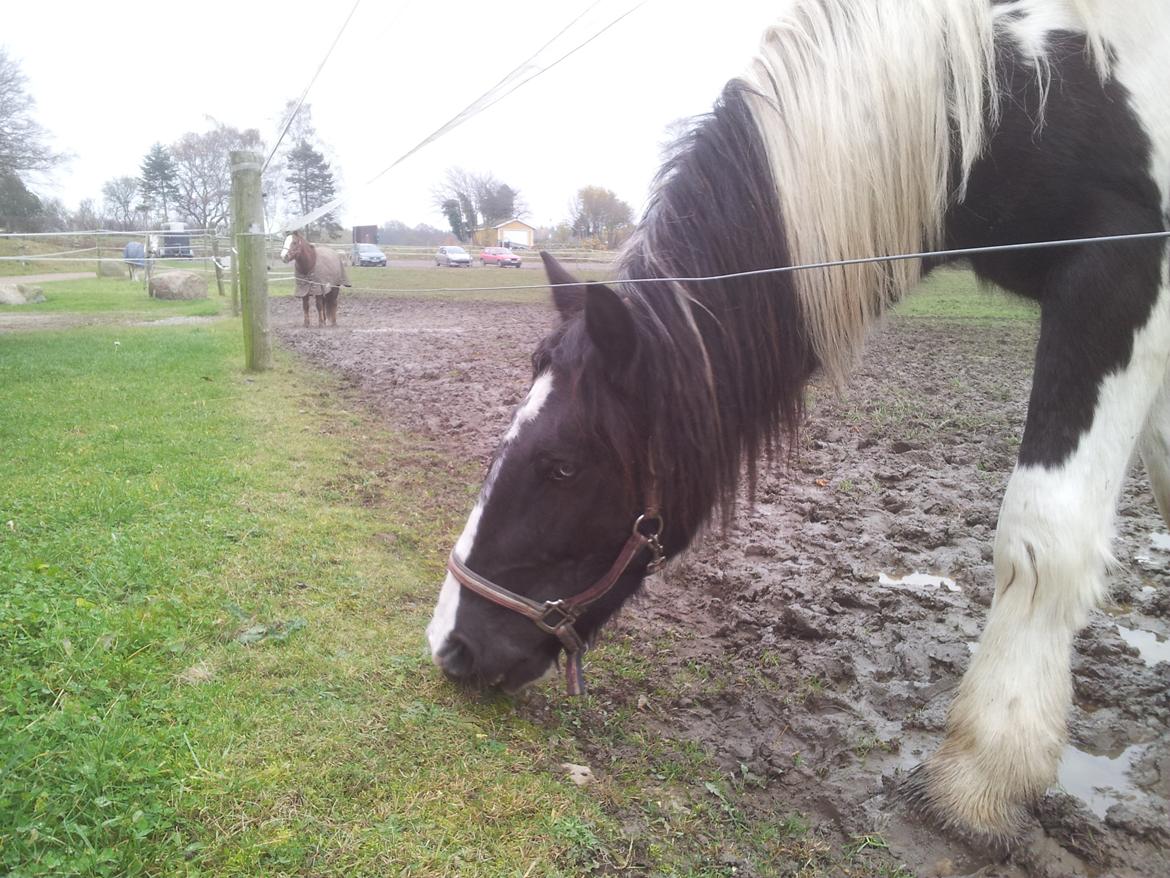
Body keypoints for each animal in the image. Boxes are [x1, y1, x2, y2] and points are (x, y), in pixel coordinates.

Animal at [428, 0, 1170, 838]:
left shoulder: (1122, 269)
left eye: (562, 465)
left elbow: (1045, 530)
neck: (1018, 89)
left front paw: (986, 772)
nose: (449, 646)